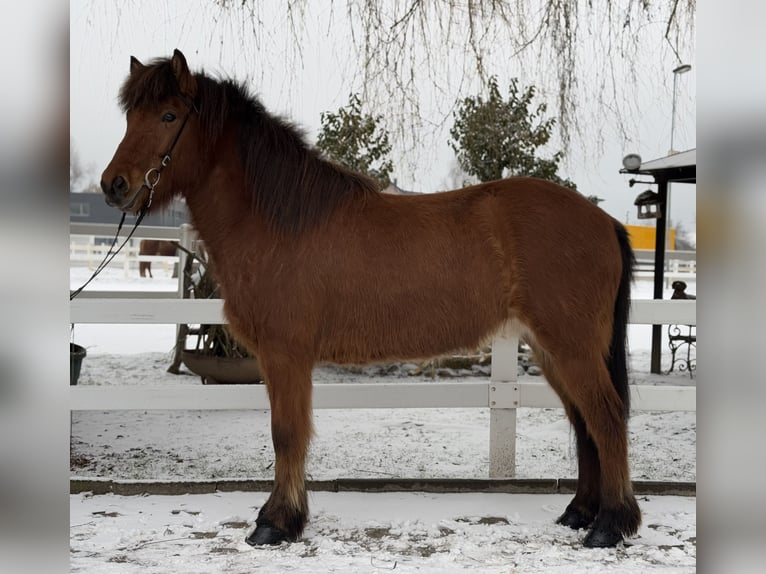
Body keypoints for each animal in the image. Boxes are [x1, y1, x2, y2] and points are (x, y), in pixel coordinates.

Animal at [100, 51, 640, 552]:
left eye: (169, 116)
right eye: (130, 116)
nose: (114, 185)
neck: (280, 223)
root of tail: (604, 222)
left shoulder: (285, 355)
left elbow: (286, 433)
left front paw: (276, 523)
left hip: (570, 347)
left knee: (606, 418)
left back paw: (610, 525)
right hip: (552, 350)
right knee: (584, 423)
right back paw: (581, 513)